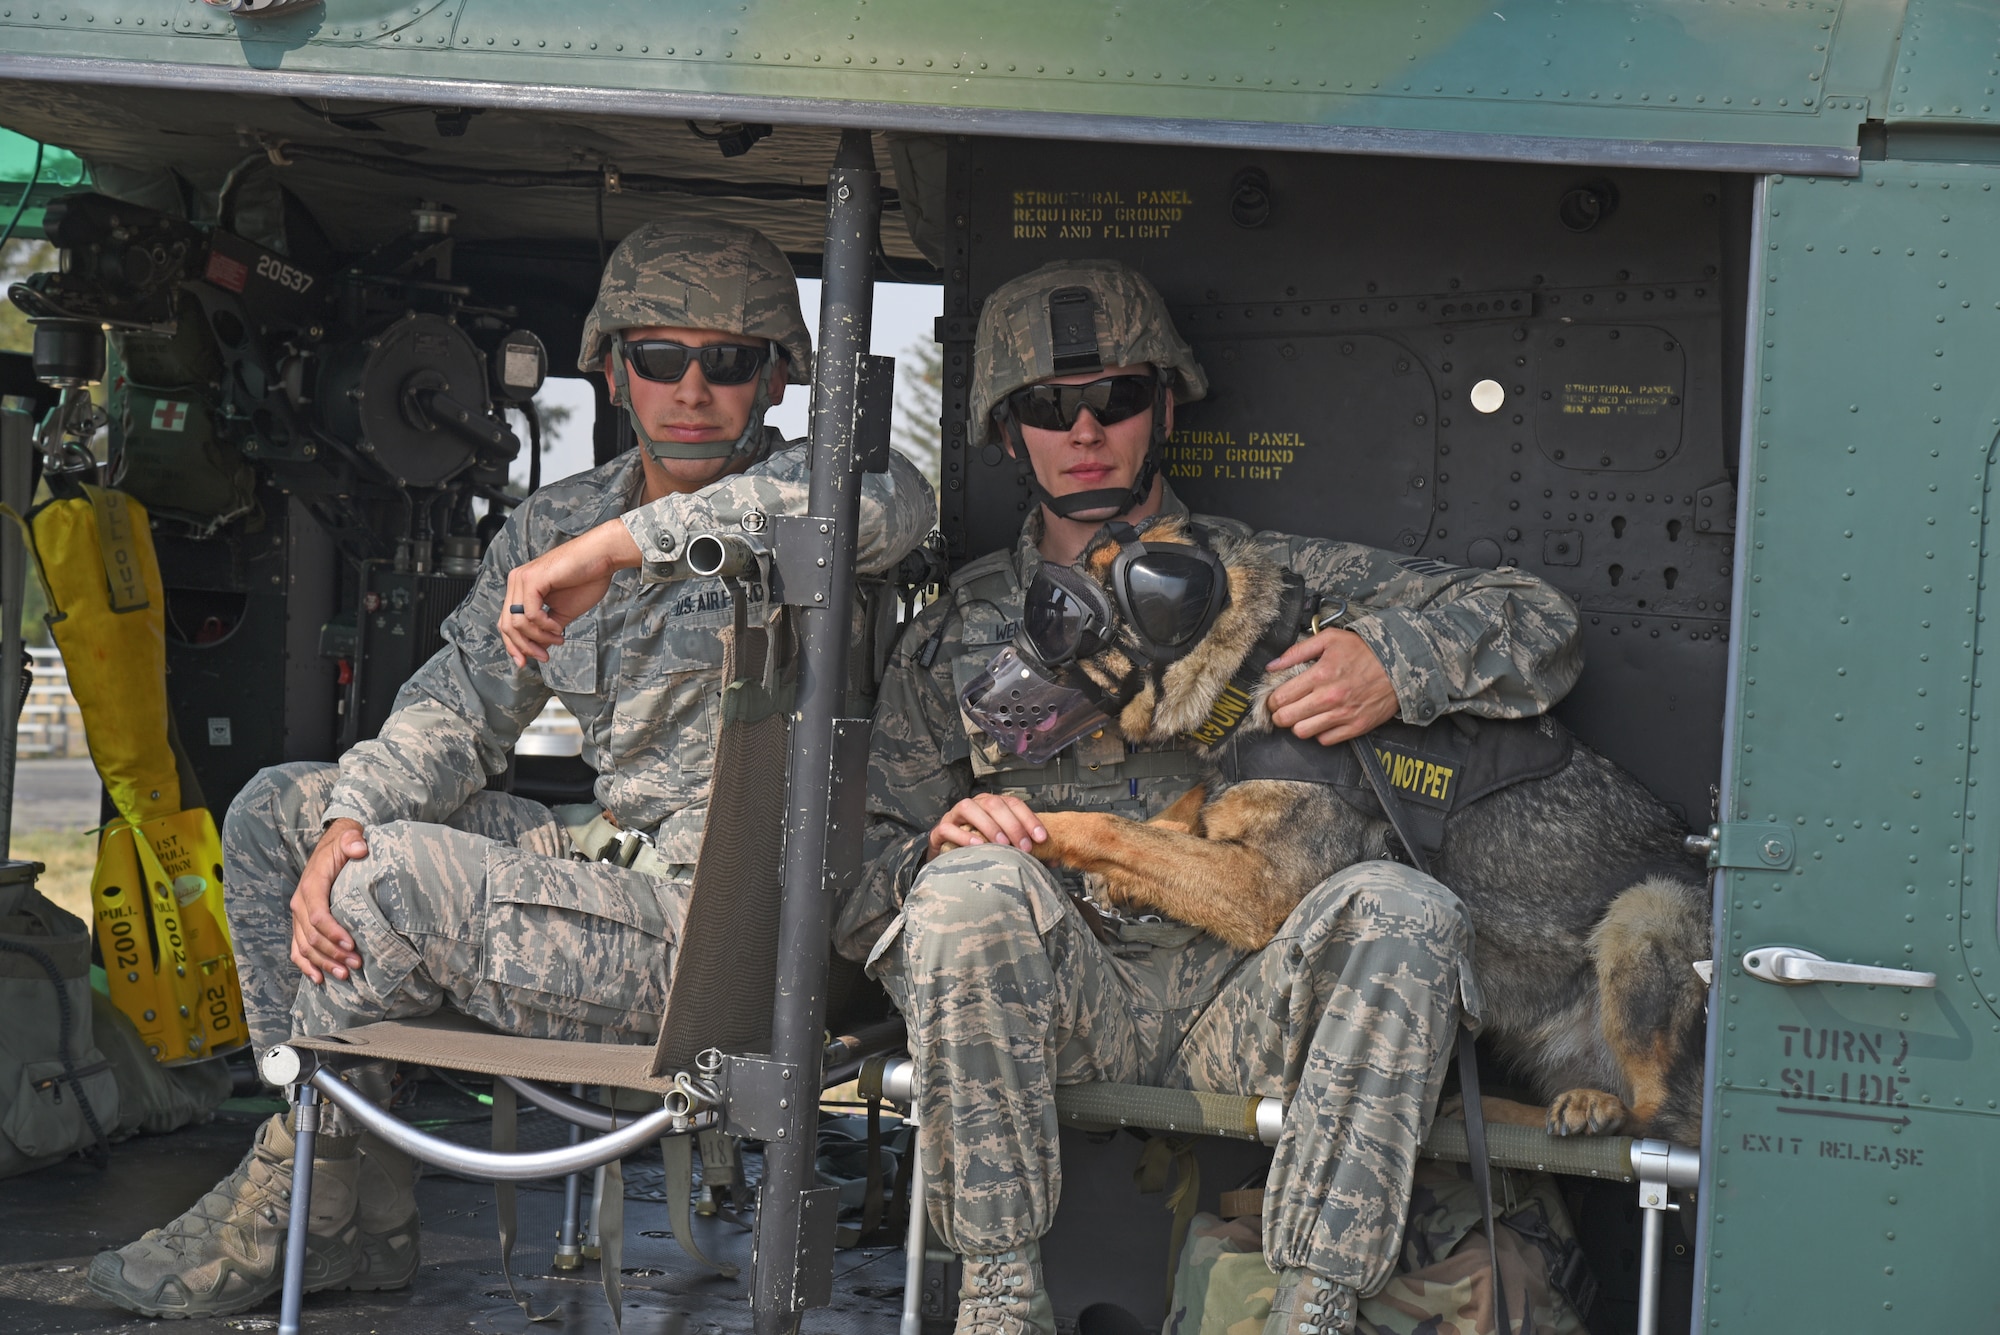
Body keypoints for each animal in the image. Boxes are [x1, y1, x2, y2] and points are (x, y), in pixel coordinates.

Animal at [1024, 515, 1712, 1143]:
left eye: (1069, 617)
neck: (1256, 662)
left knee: (1666, 1117)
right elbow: (1180, 815)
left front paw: (1037, 827)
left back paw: (1599, 1109)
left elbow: (1115, 829)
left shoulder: (1259, 887)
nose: (1014, 647)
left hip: (1644, 913)